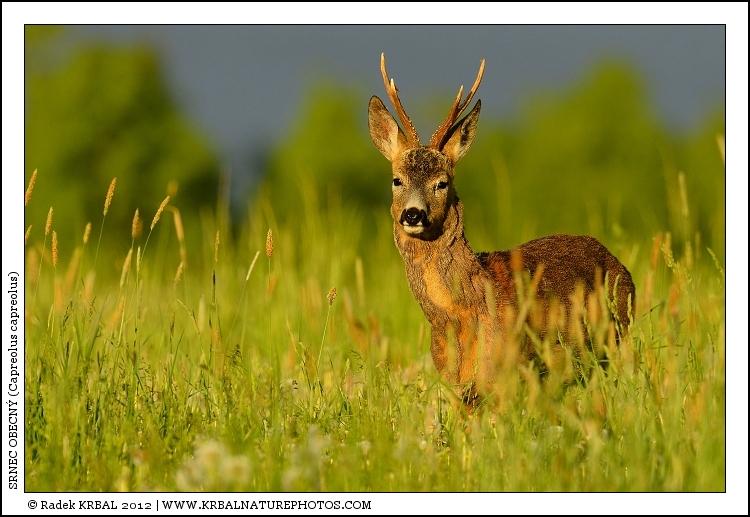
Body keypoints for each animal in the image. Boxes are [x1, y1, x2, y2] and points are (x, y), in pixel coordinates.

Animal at [368, 54, 636, 410]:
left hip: (616, 338)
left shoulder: (509, 372)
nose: (413, 214)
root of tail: (622, 267)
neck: (460, 318)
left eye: (442, 182)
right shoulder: (456, 385)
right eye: (396, 180)